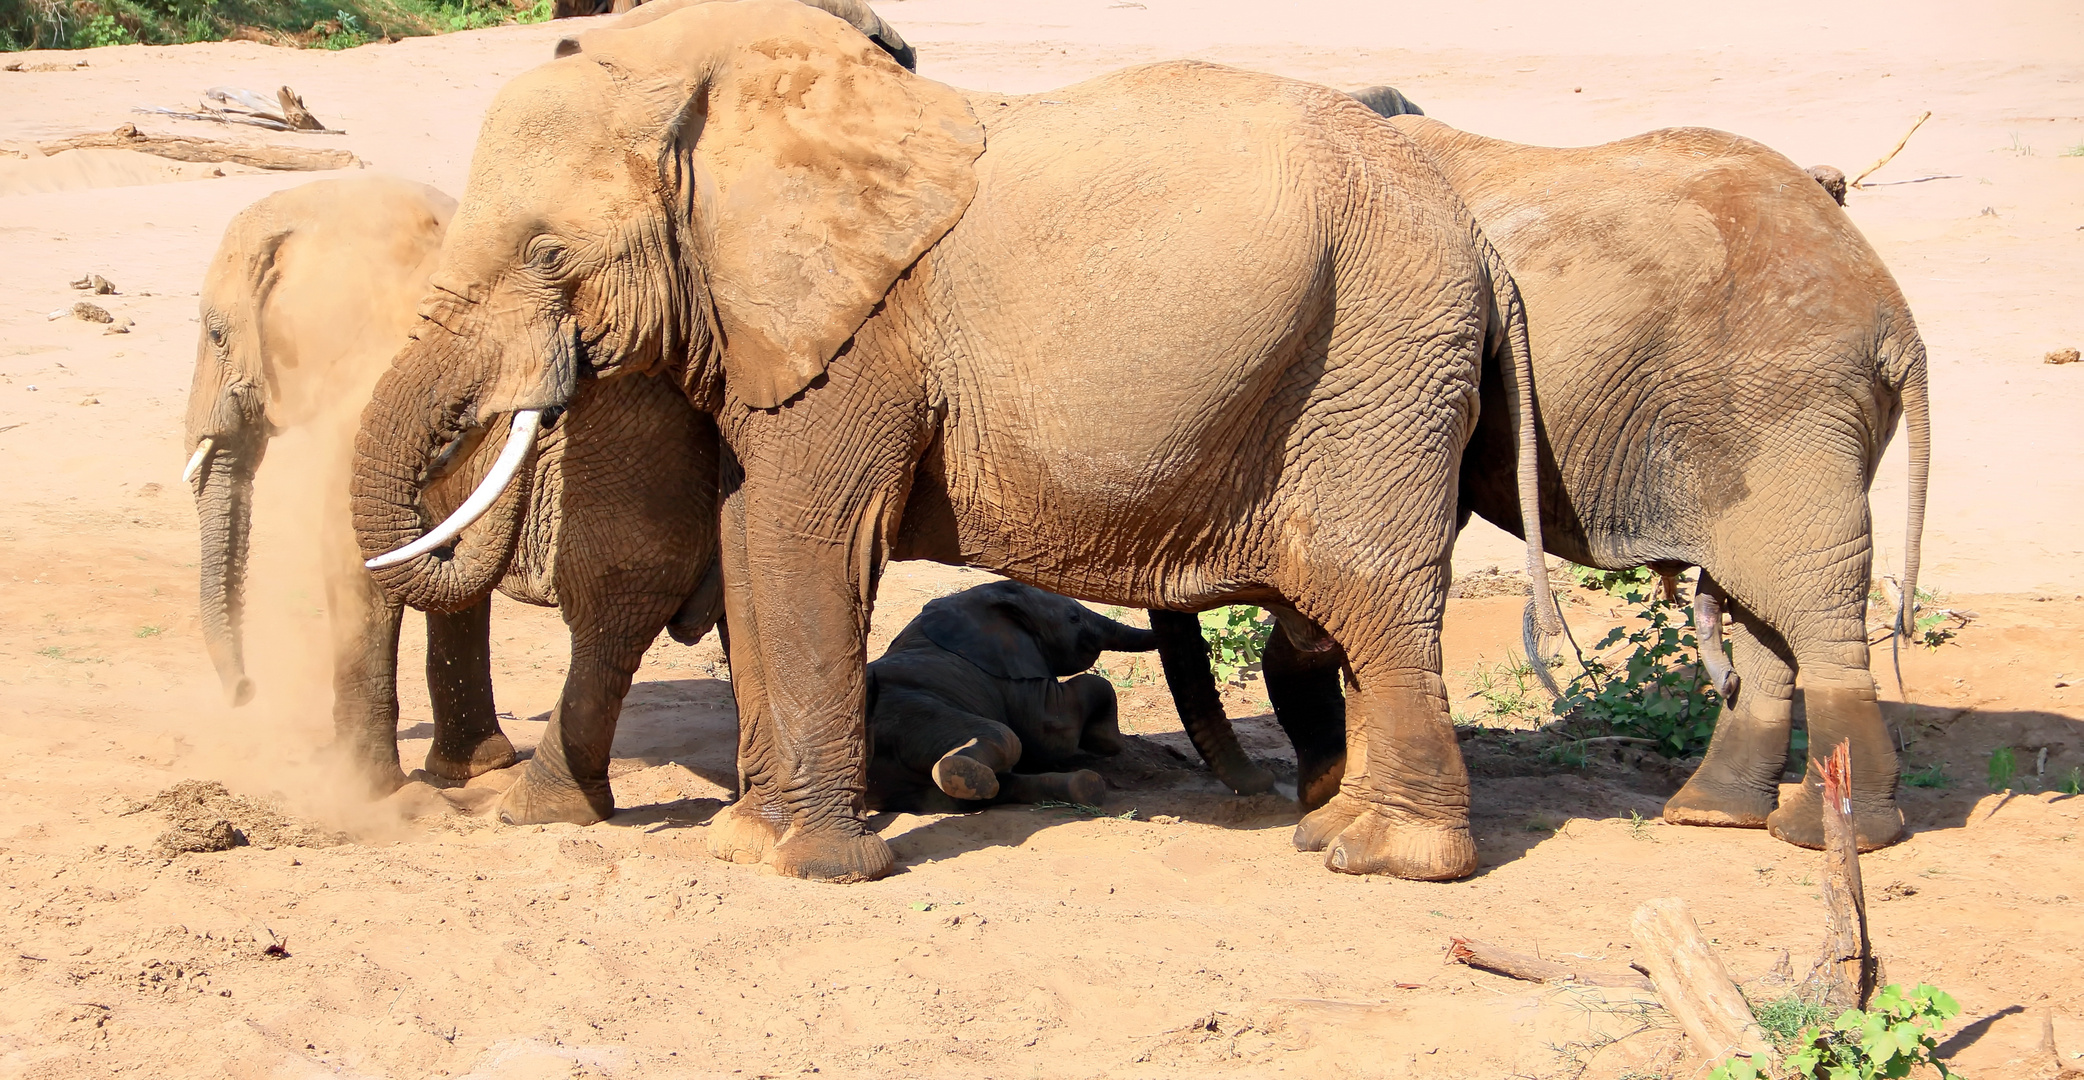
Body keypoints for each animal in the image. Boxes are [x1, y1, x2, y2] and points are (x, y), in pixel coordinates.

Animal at [858, 583, 1158, 813]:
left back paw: (1086, 787)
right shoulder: (1012, 676)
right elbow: (1054, 734)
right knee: (1005, 739)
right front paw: (1106, 742)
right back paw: (963, 772)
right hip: (913, 713)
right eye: (1073, 618)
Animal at [1150, 109, 1925, 854]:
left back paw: (1827, 832)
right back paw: (1716, 812)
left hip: (1787, 411)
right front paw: (1326, 787)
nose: (1258, 790)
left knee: (1806, 597)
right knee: (1768, 605)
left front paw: (1321, 793)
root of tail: (1895, 319)